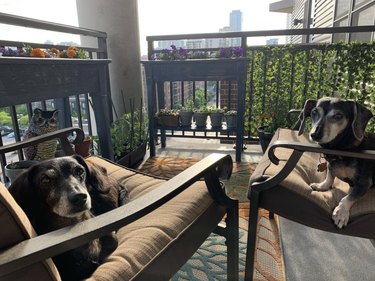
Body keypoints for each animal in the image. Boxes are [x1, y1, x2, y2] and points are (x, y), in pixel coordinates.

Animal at [300, 96, 375, 228]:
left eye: (338, 115)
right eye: (314, 112)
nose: (315, 134)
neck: (343, 150)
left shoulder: (364, 183)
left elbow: (348, 197)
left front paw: (341, 213)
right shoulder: (331, 167)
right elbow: (330, 177)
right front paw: (322, 186)